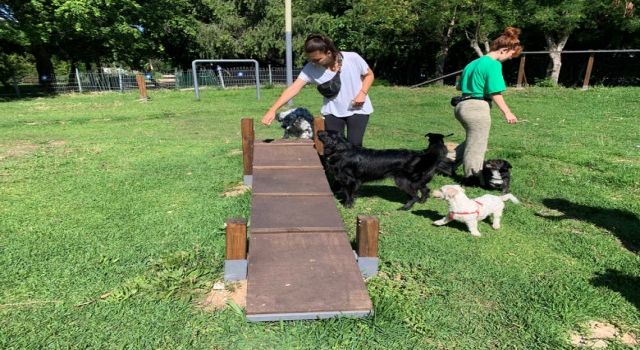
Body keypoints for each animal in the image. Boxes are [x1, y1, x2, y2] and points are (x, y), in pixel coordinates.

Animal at [318, 130, 448, 209]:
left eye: (325, 132)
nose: (318, 131)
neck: (342, 150)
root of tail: (420, 154)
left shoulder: (352, 181)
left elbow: (350, 194)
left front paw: (348, 206)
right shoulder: (344, 180)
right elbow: (346, 192)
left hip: (403, 180)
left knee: (414, 195)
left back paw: (405, 208)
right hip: (416, 180)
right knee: (425, 189)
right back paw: (422, 202)